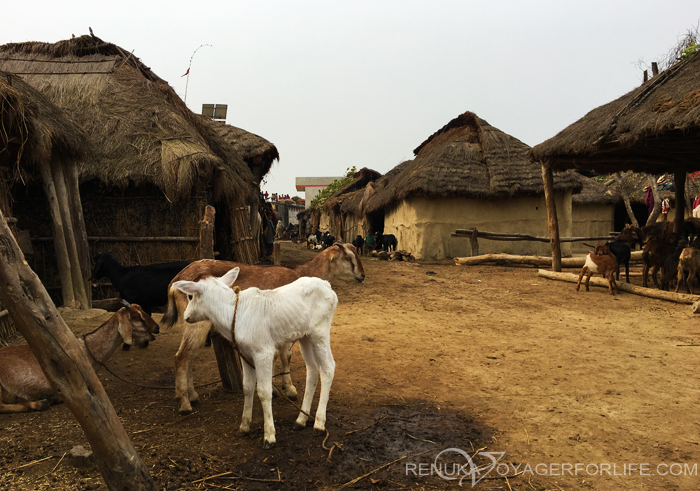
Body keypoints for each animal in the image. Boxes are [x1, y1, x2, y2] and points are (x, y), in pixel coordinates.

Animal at [161, 242, 364, 416]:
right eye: (348, 257)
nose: (362, 276)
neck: (300, 274)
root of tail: (173, 282)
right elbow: (284, 355)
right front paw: (287, 389)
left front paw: (277, 387)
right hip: (195, 322)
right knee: (181, 357)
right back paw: (185, 403)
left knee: (189, 357)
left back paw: (192, 396)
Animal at [175, 270, 340, 450]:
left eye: (190, 296)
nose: (186, 316)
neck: (233, 315)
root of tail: (326, 284)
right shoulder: (245, 354)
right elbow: (247, 387)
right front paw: (244, 426)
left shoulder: (263, 353)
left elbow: (263, 391)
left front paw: (269, 436)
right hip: (305, 336)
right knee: (312, 369)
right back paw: (301, 420)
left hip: (320, 331)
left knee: (328, 368)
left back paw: (319, 423)